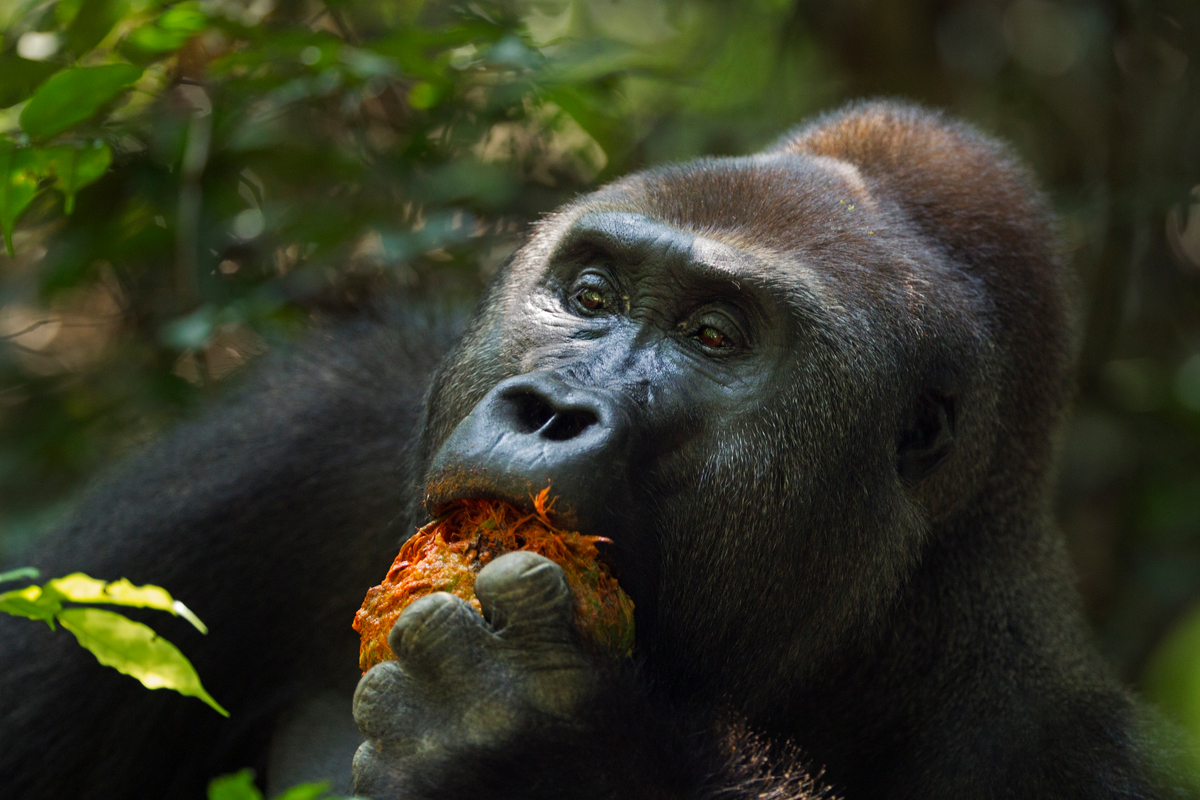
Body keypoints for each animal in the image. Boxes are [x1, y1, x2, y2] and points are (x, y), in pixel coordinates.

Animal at [0, 101, 1176, 800]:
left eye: (714, 337)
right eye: (593, 294)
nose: (551, 410)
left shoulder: (1044, 748)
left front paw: (541, 744)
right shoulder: (313, 431)